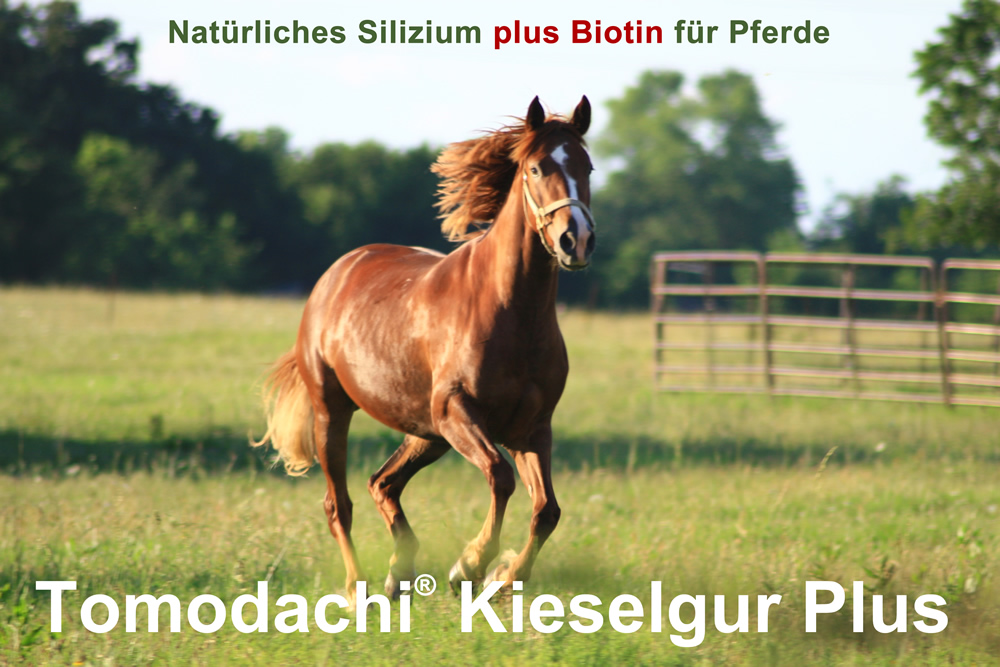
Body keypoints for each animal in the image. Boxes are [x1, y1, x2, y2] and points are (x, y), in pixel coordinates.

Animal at [254, 96, 595, 604]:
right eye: (536, 168)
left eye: (587, 167)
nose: (576, 240)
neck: (510, 312)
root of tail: (335, 274)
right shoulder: (457, 410)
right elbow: (500, 476)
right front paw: (469, 566)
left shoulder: (531, 428)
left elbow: (546, 510)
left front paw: (502, 578)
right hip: (336, 413)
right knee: (339, 504)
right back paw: (357, 590)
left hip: (426, 432)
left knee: (383, 484)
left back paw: (400, 572)